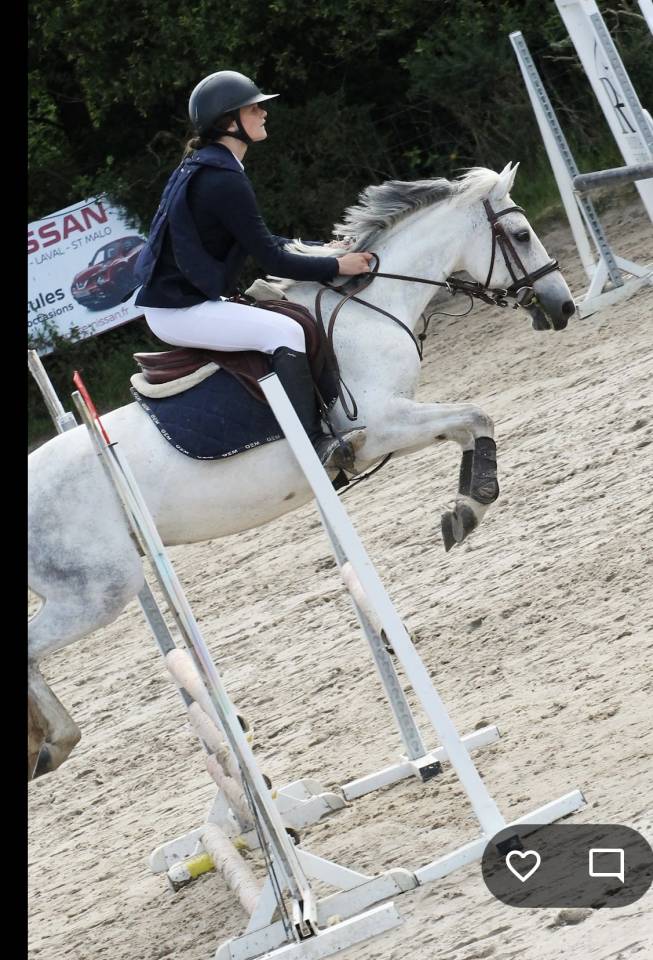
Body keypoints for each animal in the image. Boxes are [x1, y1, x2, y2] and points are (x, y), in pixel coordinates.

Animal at [28, 162, 576, 780]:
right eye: (523, 235)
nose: (563, 307)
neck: (369, 309)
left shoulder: (400, 423)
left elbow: (469, 426)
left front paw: (464, 506)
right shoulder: (379, 425)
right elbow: (477, 415)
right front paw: (470, 505)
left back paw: (46, 743)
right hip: (97, 590)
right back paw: (55, 739)